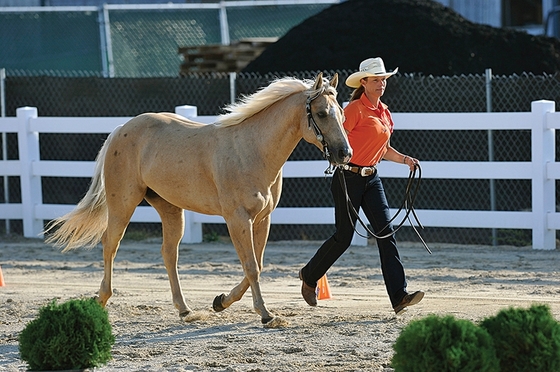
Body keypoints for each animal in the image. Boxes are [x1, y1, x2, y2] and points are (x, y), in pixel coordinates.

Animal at [44, 72, 350, 326]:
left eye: (342, 115)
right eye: (322, 113)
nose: (344, 154)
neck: (252, 149)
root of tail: (120, 129)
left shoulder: (263, 219)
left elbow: (258, 265)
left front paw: (221, 302)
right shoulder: (238, 219)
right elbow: (251, 266)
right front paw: (265, 315)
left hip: (169, 208)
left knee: (169, 253)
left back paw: (184, 310)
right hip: (124, 203)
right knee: (111, 243)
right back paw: (101, 299)